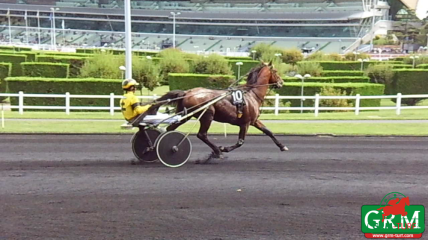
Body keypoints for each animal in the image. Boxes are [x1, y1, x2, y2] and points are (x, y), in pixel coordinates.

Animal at [153, 62, 288, 162]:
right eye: (276, 71)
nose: (281, 82)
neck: (252, 94)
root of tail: (187, 92)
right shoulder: (245, 123)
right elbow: (240, 142)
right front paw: (222, 149)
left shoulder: (254, 121)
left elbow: (268, 131)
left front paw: (282, 146)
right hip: (207, 115)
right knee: (201, 135)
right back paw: (217, 152)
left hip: (185, 114)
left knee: (170, 128)